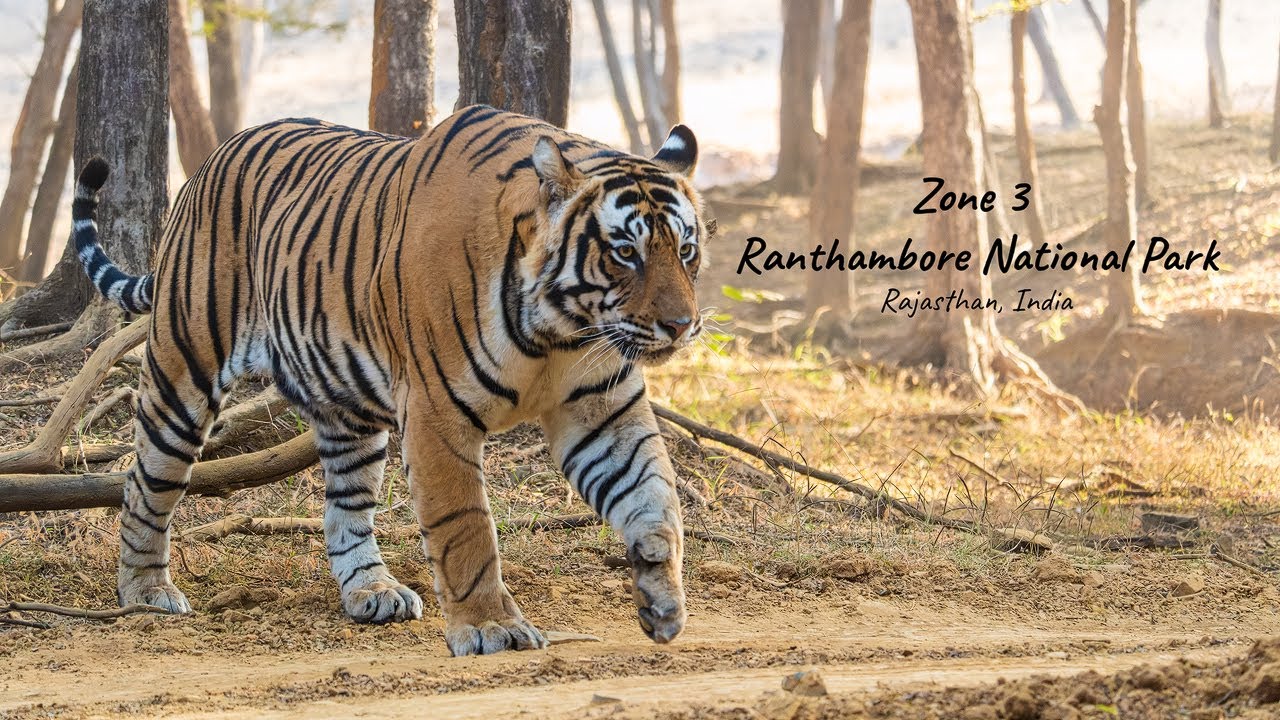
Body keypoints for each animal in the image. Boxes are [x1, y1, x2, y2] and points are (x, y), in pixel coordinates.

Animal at [71, 104, 712, 656]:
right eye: (625, 252)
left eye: (686, 250)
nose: (681, 325)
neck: (561, 331)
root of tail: (213, 156)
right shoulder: (437, 414)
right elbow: (466, 527)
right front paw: (491, 628)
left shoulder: (602, 409)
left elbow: (654, 495)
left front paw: (660, 594)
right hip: (183, 369)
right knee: (146, 483)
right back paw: (146, 590)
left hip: (347, 409)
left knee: (344, 509)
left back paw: (370, 591)